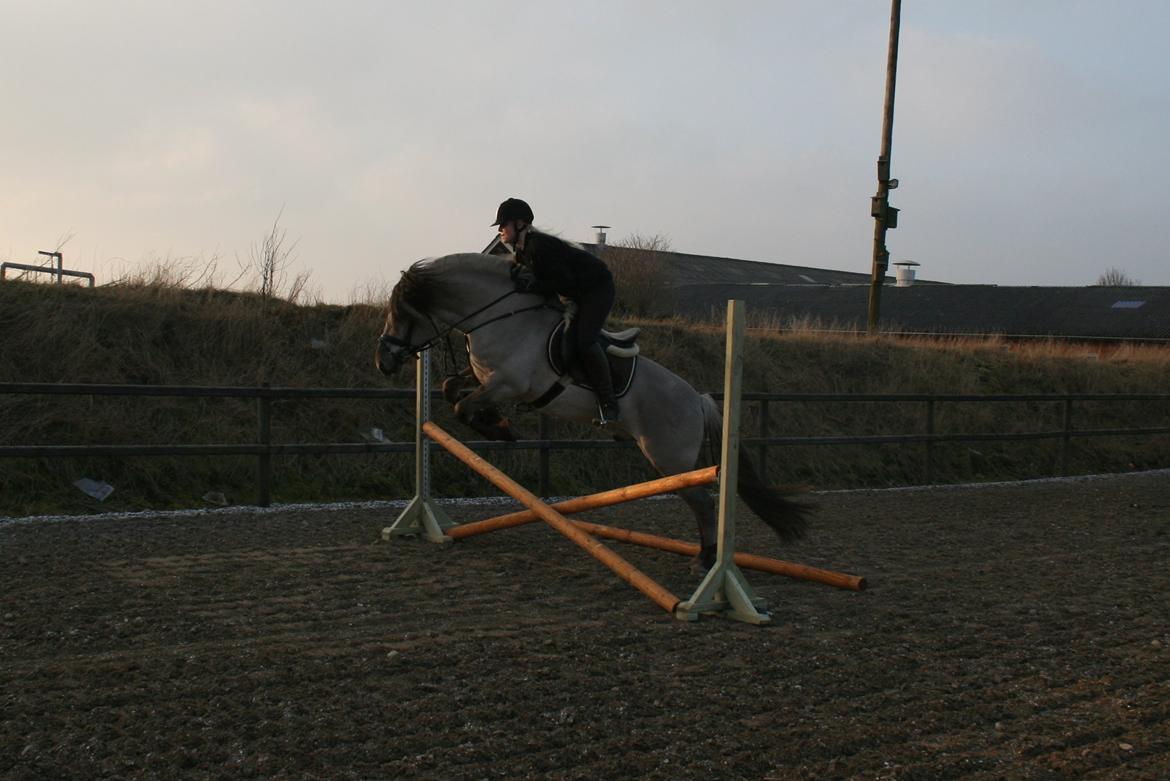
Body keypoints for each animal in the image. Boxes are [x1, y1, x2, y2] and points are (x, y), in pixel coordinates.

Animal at [379, 253, 809, 563]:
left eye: (401, 313)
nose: (382, 362)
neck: (498, 316)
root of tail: (698, 400)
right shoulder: (486, 378)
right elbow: (452, 390)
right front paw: (497, 425)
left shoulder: (510, 384)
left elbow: (462, 407)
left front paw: (499, 429)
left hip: (670, 460)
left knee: (704, 503)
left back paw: (705, 561)